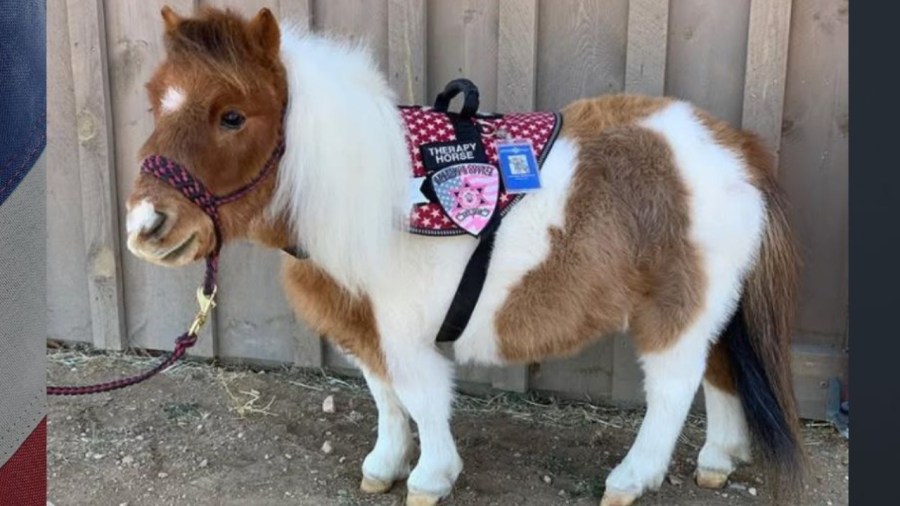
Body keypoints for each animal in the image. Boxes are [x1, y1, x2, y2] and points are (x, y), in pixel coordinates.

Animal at [124, 6, 806, 506]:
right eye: (155, 102)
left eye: (233, 116)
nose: (146, 226)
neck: (377, 190)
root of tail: (733, 146)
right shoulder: (365, 327)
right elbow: (385, 397)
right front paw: (384, 466)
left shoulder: (406, 332)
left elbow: (422, 400)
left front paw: (430, 478)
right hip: (711, 309)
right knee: (720, 374)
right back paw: (717, 462)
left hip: (676, 311)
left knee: (673, 388)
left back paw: (630, 480)